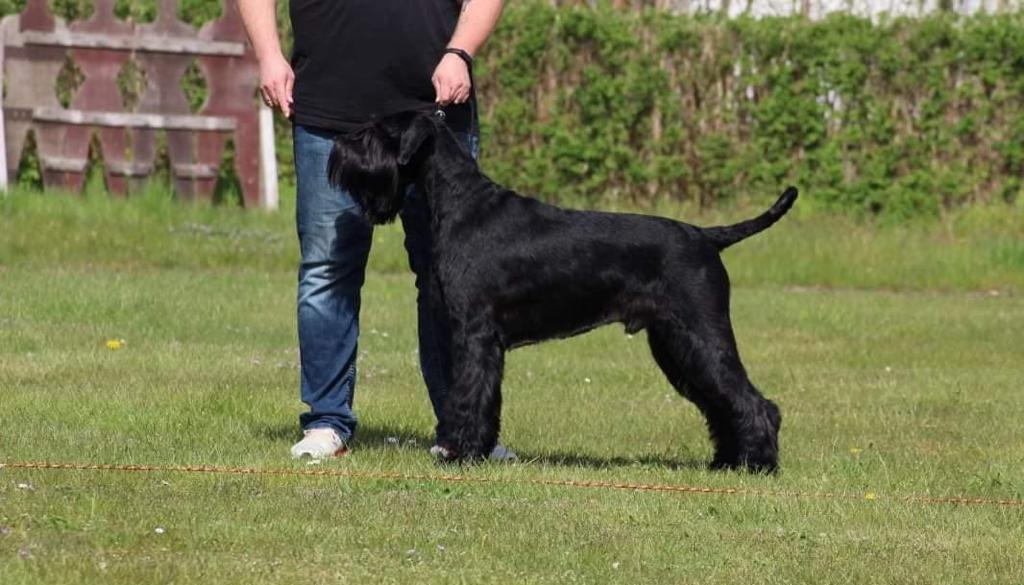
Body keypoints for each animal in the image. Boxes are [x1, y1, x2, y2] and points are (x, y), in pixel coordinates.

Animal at [327, 110, 796, 472]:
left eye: (377, 130)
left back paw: (759, 464)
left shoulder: (475, 333)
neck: (462, 204)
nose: (337, 150)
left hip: (700, 334)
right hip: (673, 343)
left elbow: (470, 392)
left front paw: (460, 452)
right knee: (720, 401)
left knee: (754, 401)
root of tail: (706, 236)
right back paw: (727, 461)